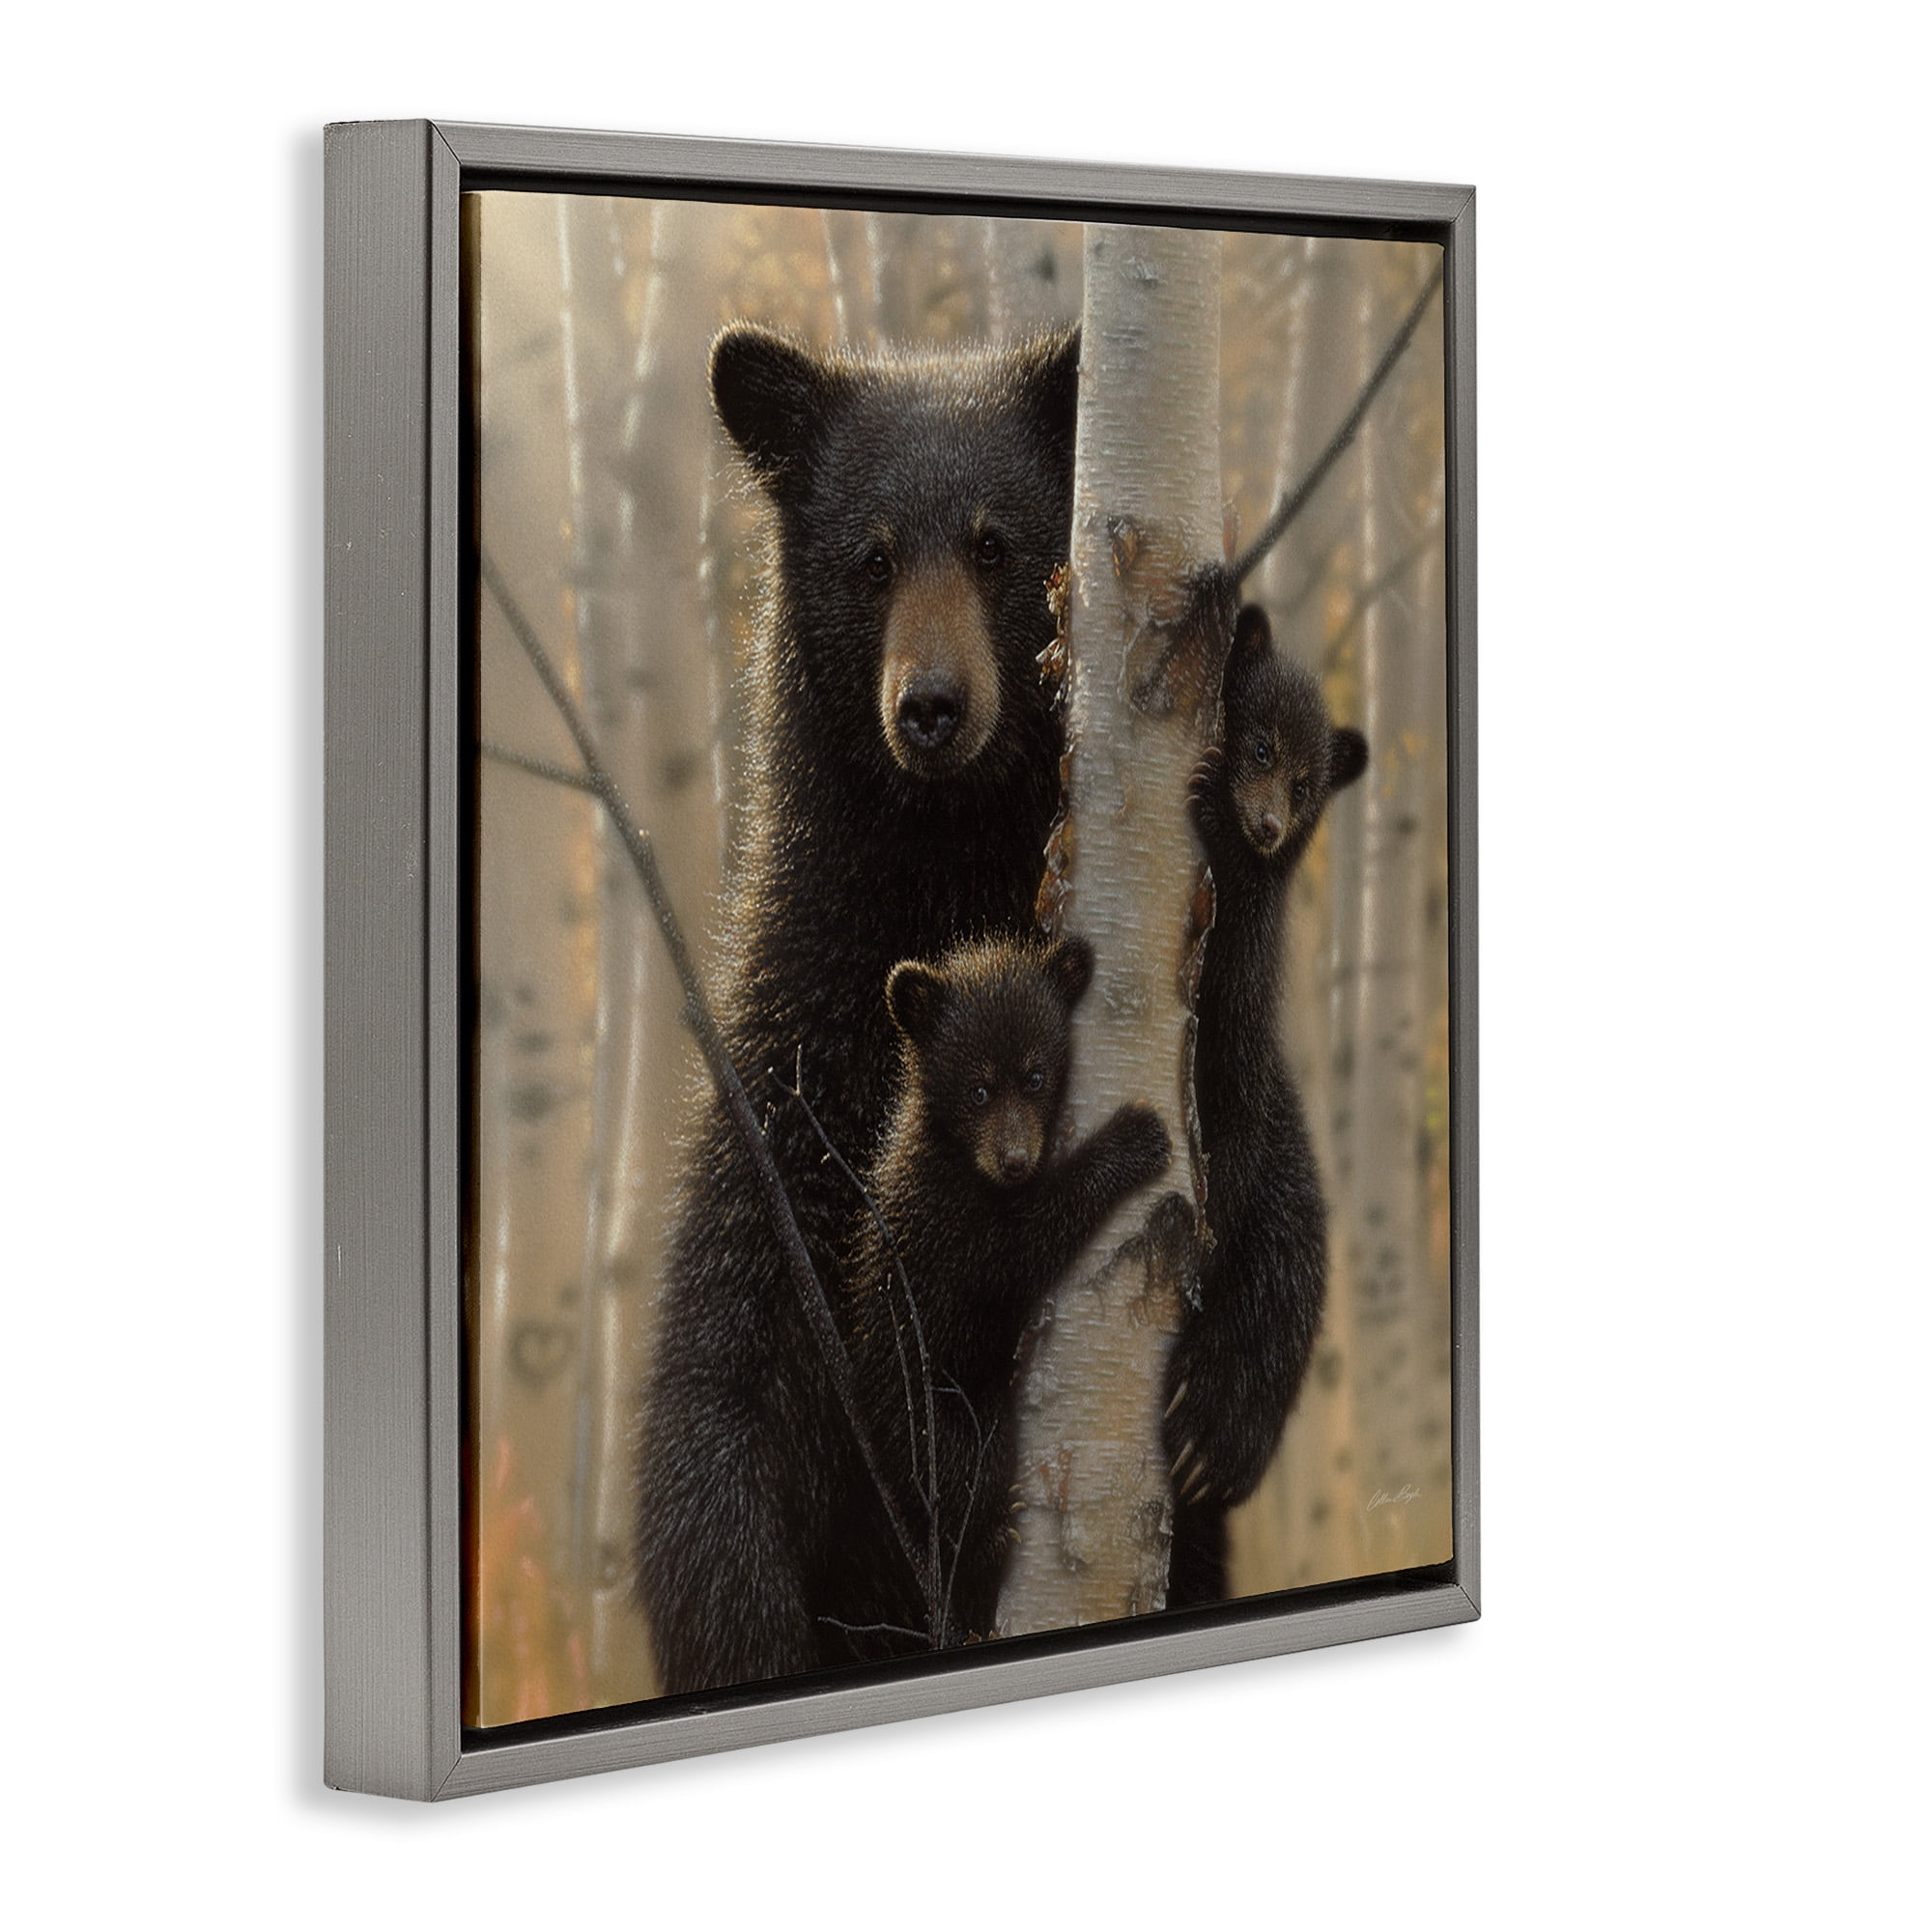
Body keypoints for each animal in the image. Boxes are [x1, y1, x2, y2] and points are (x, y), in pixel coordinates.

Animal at [634, 321, 1083, 1695]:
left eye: (994, 542)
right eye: (869, 557)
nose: (929, 706)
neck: (936, 879)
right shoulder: (789, 1094)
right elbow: (721, 1400)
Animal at [822, 935, 1175, 1663]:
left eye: (1036, 1076)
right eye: (978, 1087)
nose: (1013, 1159)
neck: (962, 1159)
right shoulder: (949, 1221)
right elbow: (1020, 1246)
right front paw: (1133, 1139)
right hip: (930, 1411)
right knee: (963, 1476)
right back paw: (987, 1541)